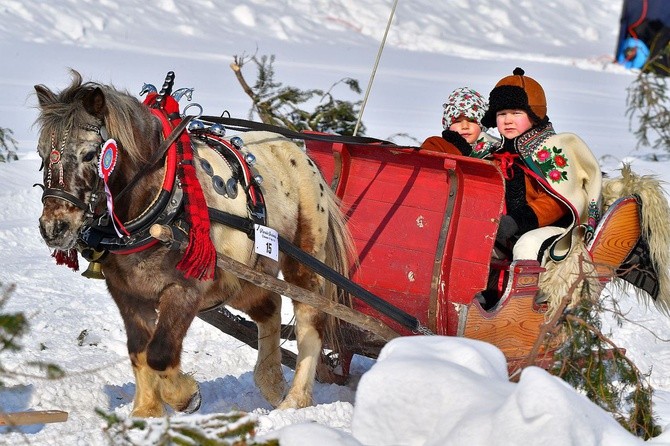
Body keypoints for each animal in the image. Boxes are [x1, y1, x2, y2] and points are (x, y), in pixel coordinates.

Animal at [32, 70, 356, 418]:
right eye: (41, 154)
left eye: (91, 154)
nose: (53, 227)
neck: (159, 201)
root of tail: (298, 151)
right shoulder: (127, 292)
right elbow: (138, 351)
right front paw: (146, 411)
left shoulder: (185, 289)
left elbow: (159, 353)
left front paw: (186, 396)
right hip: (242, 278)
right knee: (270, 305)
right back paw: (270, 383)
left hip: (303, 260)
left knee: (310, 320)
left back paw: (295, 400)